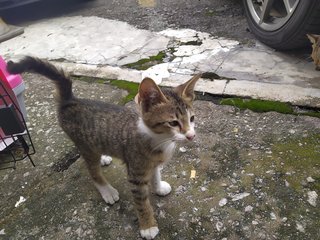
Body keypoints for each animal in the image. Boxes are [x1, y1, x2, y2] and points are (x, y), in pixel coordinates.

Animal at [7, 56, 200, 240]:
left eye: (192, 119)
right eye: (173, 123)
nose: (191, 135)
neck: (160, 140)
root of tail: (70, 100)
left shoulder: (151, 163)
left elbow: (155, 173)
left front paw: (158, 187)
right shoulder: (135, 174)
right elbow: (142, 203)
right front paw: (147, 226)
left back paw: (105, 158)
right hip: (84, 145)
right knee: (92, 170)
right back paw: (107, 190)